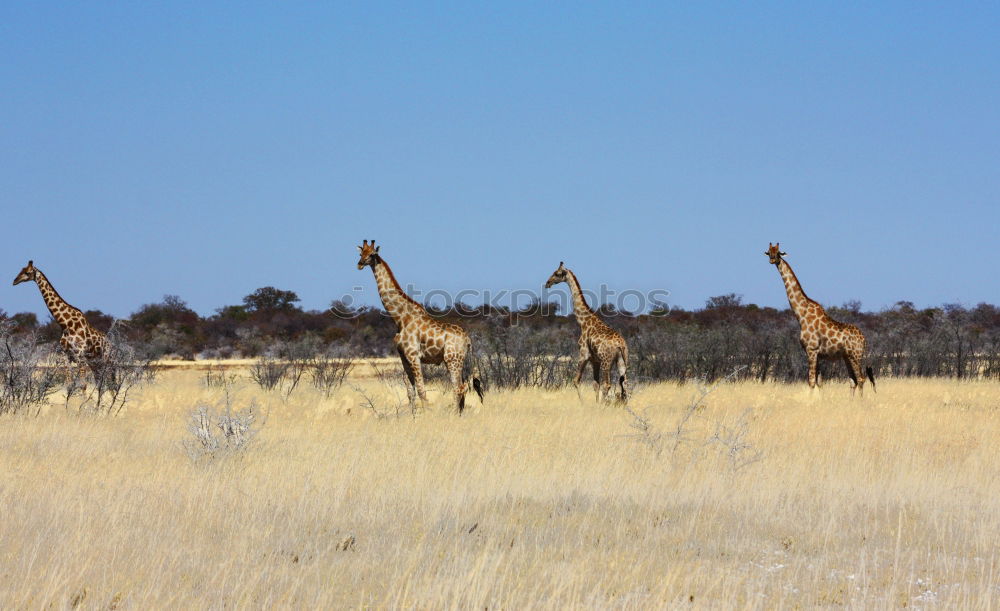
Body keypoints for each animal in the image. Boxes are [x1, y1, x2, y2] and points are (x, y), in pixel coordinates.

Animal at [360, 241, 484, 414]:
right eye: (361, 253)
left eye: (372, 254)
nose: (359, 264)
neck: (400, 318)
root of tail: (468, 340)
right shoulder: (404, 357)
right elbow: (410, 392)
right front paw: (413, 416)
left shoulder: (414, 355)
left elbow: (421, 390)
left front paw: (425, 415)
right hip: (460, 361)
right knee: (463, 387)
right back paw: (459, 413)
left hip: (452, 360)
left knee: (459, 388)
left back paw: (453, 415)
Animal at [548, 260, 624, 404]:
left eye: (557, 273)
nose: (547, 283)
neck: (583, 321)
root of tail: (620, 345)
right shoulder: (595, 360)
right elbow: (595, 384)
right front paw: (595, 403)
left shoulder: (584, 354)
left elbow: (576, 381)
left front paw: (583, 403)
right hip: (621, 361)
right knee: (623, 384)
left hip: (607, 361)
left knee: (608, 384)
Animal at [764, 245, 876, 396]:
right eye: (769, 251)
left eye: (778, 253)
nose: (772, 260)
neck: (801, 314)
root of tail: (864, 339)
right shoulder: (818, 354)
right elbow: (820, 383)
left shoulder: (811, 350)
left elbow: (811, 382)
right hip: (847, 356)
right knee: (853, 380)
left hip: (856, 355)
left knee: (861, 378)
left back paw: (860, 401)